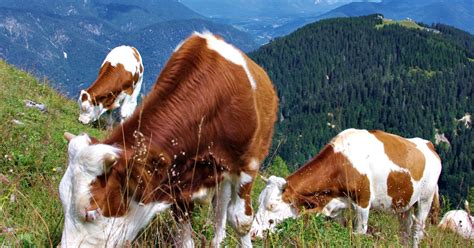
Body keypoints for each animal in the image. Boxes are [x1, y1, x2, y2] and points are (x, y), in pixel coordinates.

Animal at [58, 32, 278, 247]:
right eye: (62, 201)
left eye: (91, 213)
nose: (81, 120)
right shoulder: (178, 179)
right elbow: (183, 228)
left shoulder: (248, 165)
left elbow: (241, 221)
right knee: (220, 204)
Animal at [252, 129, 440, 247]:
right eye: (258, 202)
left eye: (272, 206)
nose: (252, 233)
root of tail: (428, 145)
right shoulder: (336, 207)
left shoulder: (362, 202)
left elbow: (358, 234)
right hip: (404, 204)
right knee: (405, 232)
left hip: (425, 200)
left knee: (417, 232)